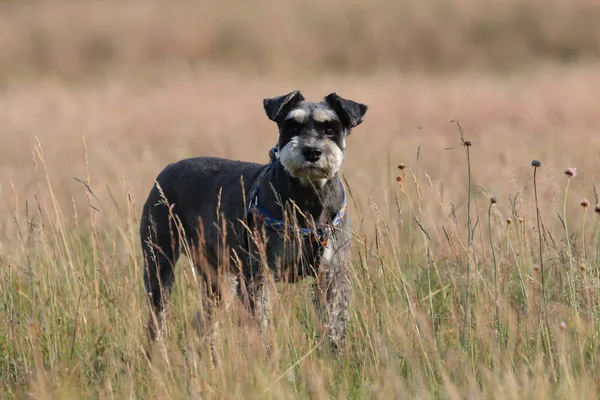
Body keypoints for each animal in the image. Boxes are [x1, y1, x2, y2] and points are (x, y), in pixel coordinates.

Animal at [139, 89, 366, 352]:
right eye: (291, 126)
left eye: (330, 128)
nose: (312, 152)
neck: (309, 200)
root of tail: (166, 171)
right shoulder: (260, 274)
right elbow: (259, 319)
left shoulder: (332, 274)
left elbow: (335, 319)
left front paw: (337, 351)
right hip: (159, 263)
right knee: (159, 317)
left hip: (220, 279)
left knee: (204, 318)